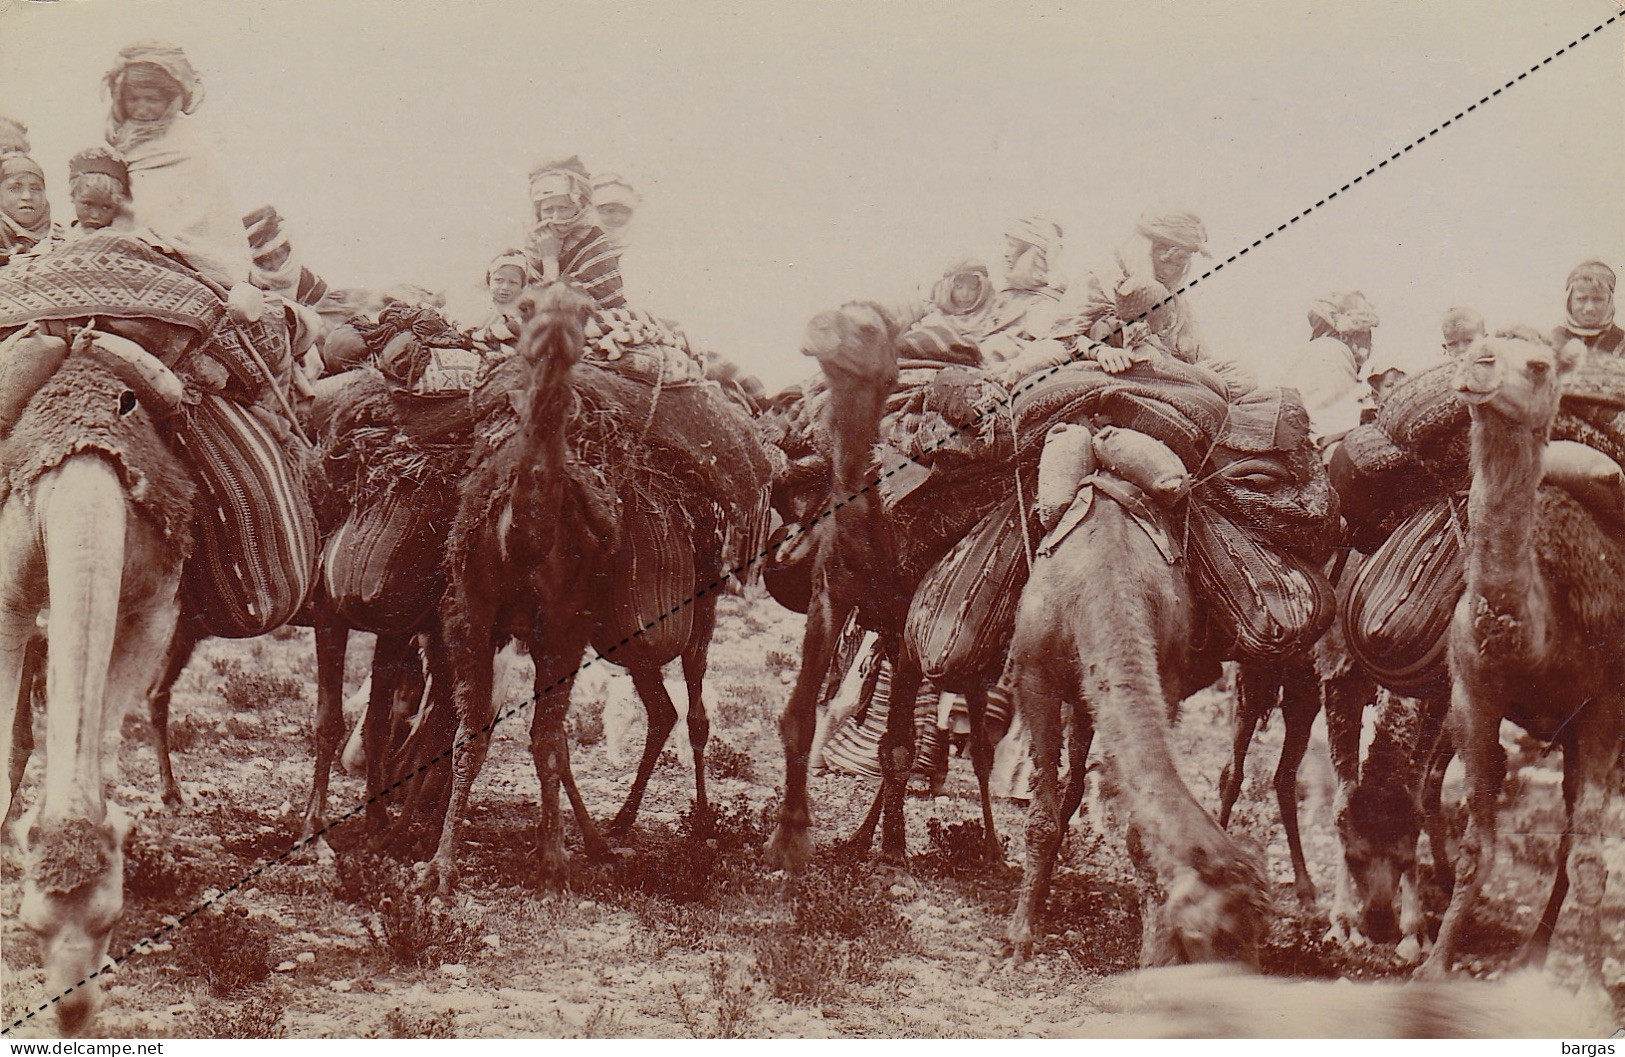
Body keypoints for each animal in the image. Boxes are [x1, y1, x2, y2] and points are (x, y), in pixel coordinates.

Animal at [1001, 484, 1267, 962]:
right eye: (1217, 934)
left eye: (1259, 932)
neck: (1107, 586)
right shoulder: (1032, 675)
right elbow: (1040, 819)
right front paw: (1020, 936)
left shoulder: (1169, 674)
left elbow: (1140, 831)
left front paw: (1153, 955)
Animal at [1423, 326, 1625, 969]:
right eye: (1476, 345)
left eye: (1538, 365)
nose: (1478, 364)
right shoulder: (1473, 699)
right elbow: (1475, 850)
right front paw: (1434, 965)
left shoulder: (1606, 712)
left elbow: (1589, 860)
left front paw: (1590, 984)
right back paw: (1531, 952)